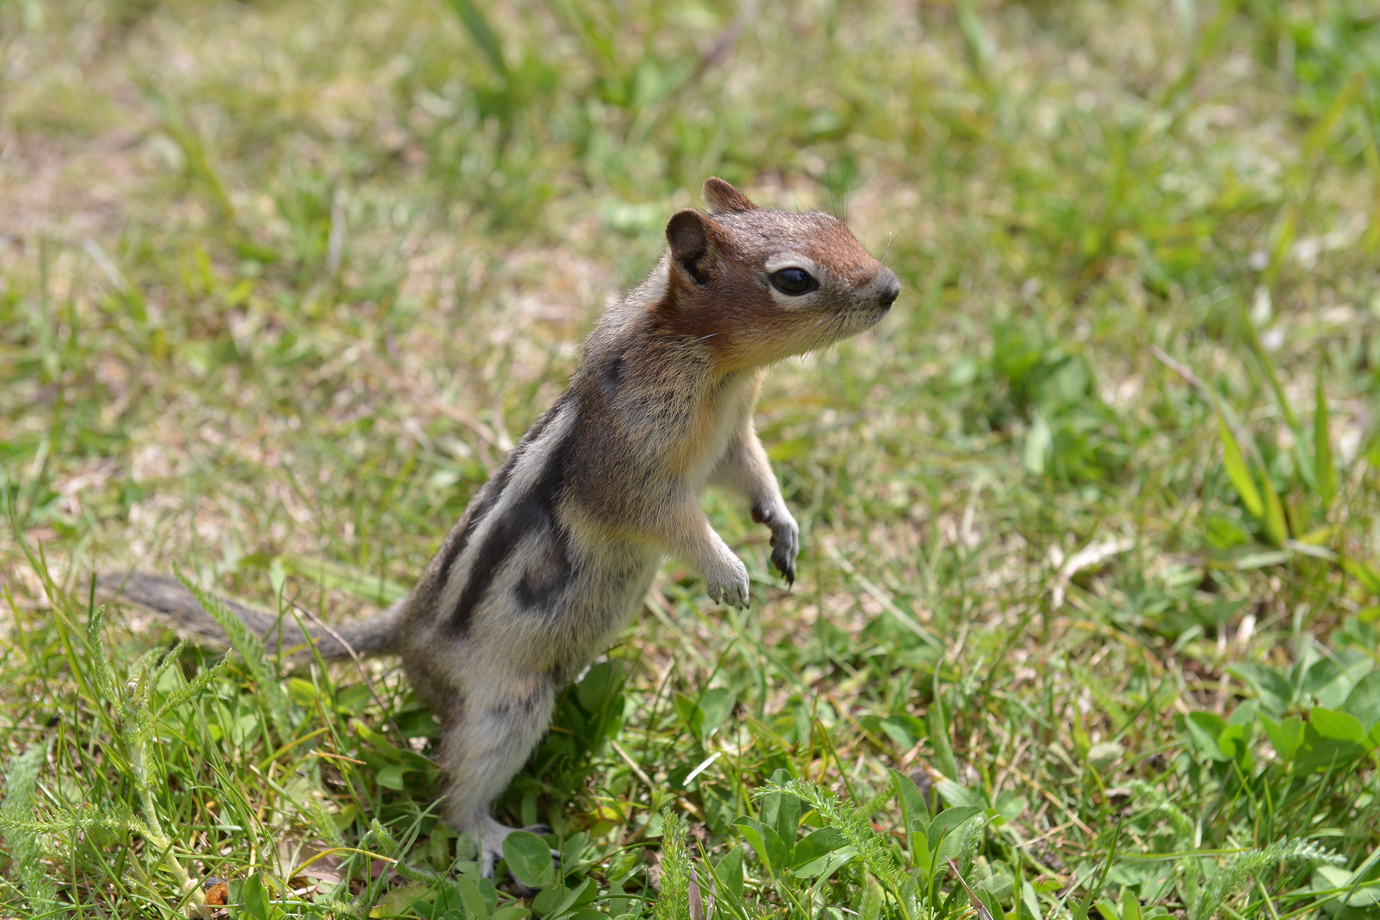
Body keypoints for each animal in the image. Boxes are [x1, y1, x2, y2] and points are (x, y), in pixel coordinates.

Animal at [100, 177, 899, 883]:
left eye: (831, 219)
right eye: (793, 279)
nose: (892, 288)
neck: (713, 363)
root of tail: (406, 630)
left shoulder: (732, 437)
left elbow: (752, 474)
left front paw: (782, 528)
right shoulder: (633, 471)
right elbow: (671, 521)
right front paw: (727, 572)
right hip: (502, 709)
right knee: (453, 783)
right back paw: (488, 835)